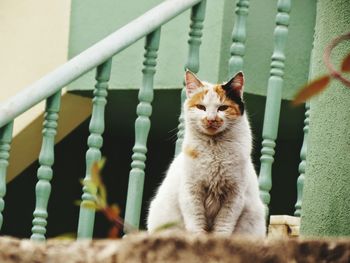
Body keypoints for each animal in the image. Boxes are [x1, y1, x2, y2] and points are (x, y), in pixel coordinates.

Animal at [147, 70, 266, 237]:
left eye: (223, 108)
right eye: (201, 107)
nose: (211, 119)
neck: (214, 150)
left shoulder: (234, 196)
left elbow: (223, 228)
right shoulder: (191, 192)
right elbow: (196, 226)